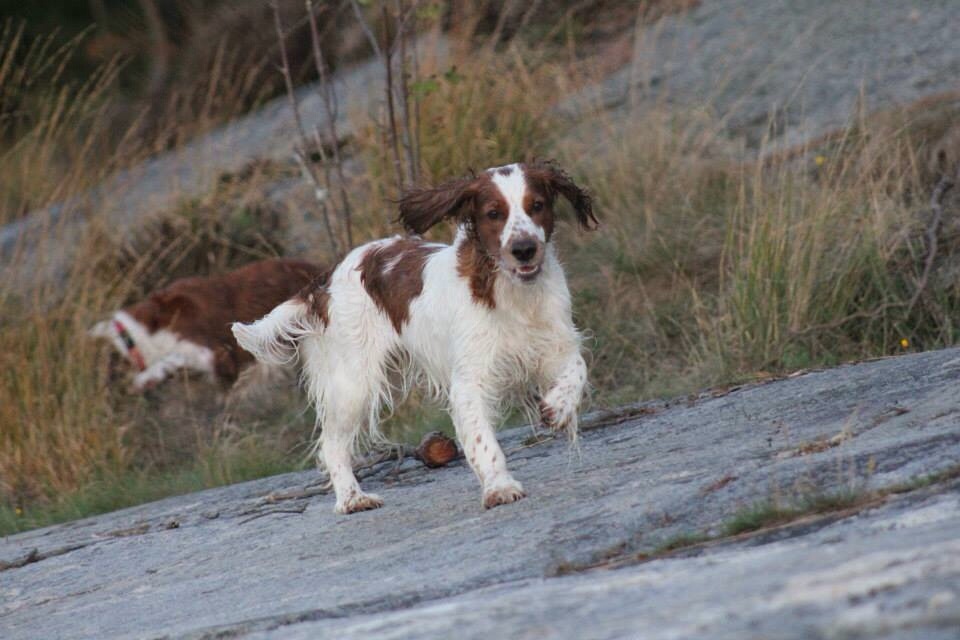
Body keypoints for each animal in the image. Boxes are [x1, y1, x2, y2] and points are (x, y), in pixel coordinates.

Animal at [232, 161, 597, 514]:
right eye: (494, 213)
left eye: (537, 205)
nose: (524, 249)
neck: (514, 294)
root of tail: (326, 278)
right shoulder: (470, 379)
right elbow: (483, 440)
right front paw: (500, 487)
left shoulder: (557, 344)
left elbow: (577, 370)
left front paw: (558, 407)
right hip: (352, 383)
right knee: (331, 445)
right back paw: (352, 499)